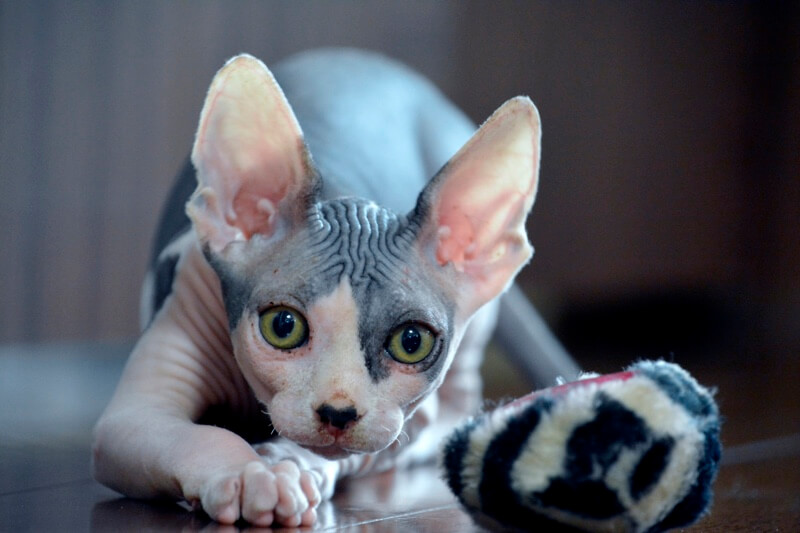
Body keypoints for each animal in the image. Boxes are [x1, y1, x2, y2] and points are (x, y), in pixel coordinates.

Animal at [90, 51, 576, 528]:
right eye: (282, 326)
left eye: (411, 342)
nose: (338, 413)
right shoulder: (137, 409)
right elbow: (197, 435)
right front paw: (247, 472)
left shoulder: (396, 423)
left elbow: (347, 449)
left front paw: (284, 464)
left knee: (461, 400)